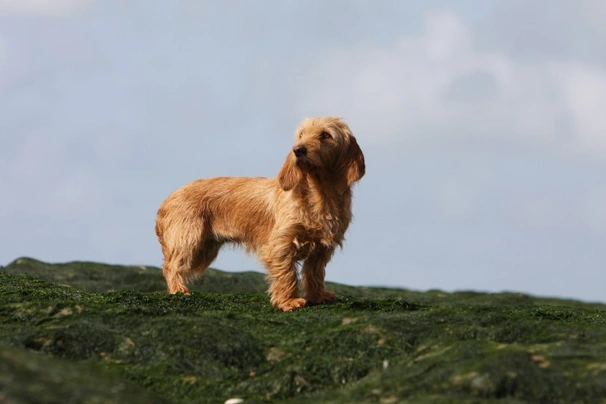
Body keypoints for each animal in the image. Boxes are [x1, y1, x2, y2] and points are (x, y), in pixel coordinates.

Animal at [157, 115, 366, 310]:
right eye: (301, 135)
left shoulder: (321, 249)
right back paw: (178, 290)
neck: (318, 195)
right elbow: (287, 273)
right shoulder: (280, 245)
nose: (298, 150)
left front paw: (317, 296)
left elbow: (314, 273)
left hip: (205, 247)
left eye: (325, 135)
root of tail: (167, 200)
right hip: (189, 240)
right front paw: (288, 301)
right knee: (171, 266)